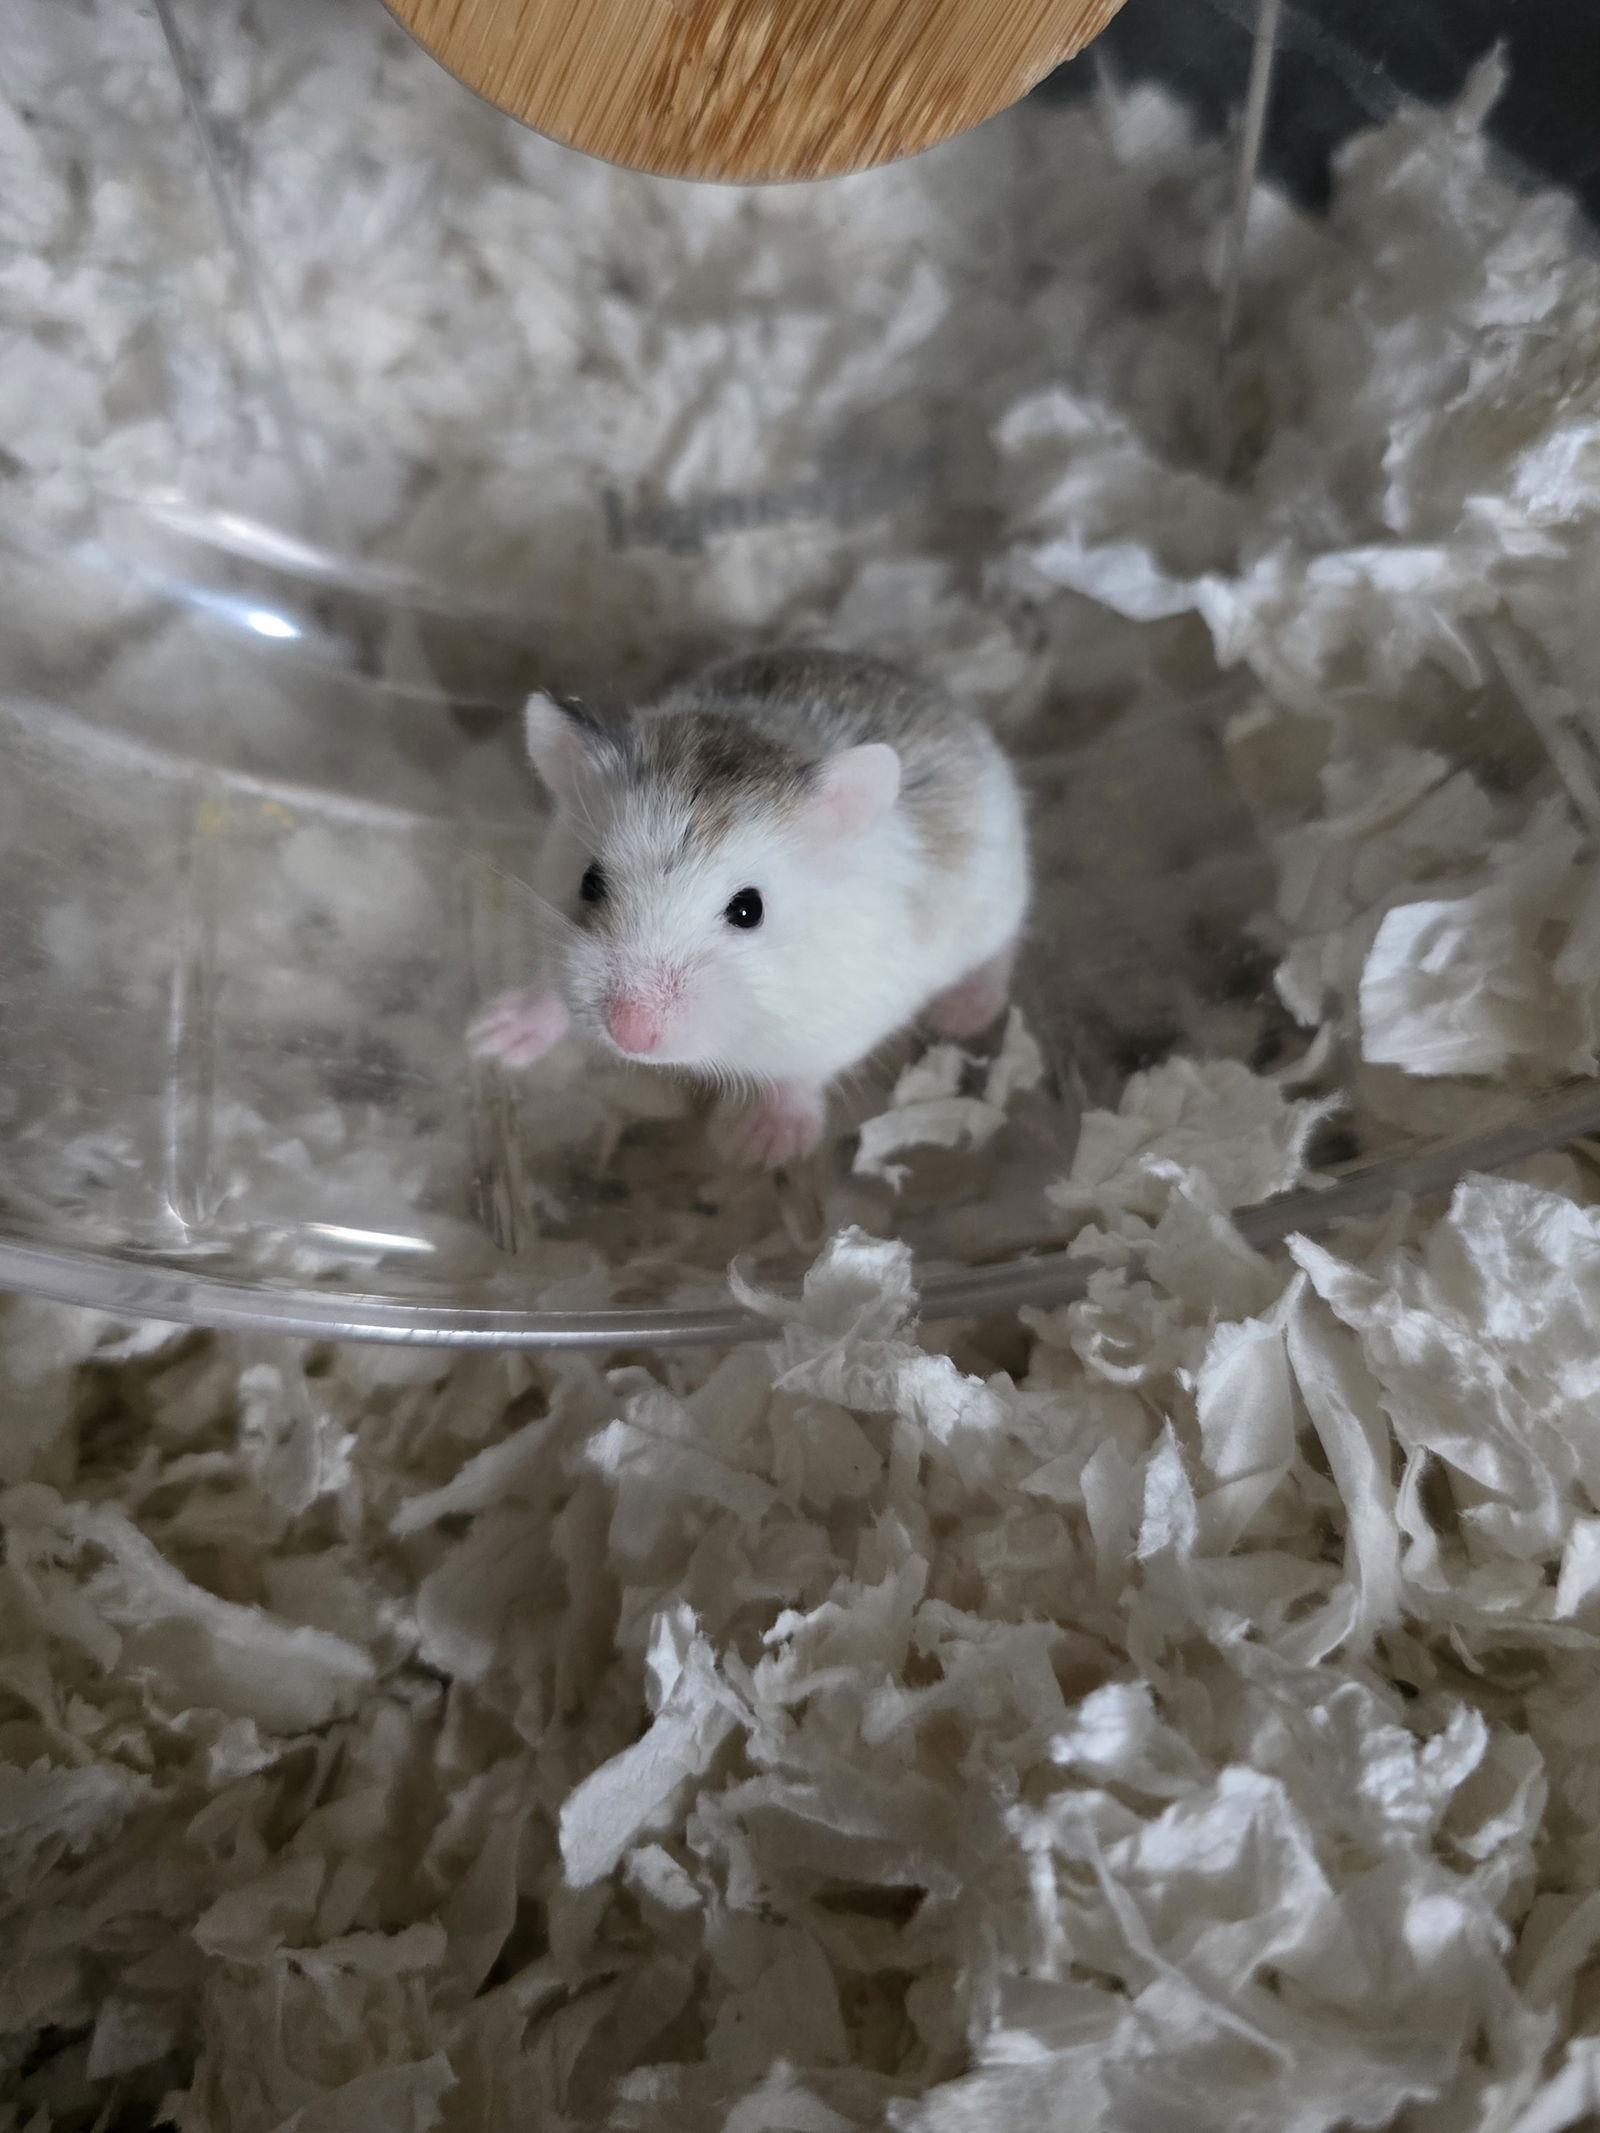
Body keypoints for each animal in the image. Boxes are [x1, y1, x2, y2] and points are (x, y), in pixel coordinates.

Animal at [469, 648, 1030, 1167]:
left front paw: (752, 1148)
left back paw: (962, 1015)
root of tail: (929, 685)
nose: (630, 1035)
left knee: (1000, 952)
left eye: (748, 910)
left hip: (996, 905)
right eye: (589, 882)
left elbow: (800, 1075)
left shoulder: (847, 1016)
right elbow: (551, 987)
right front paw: (490, 1036)